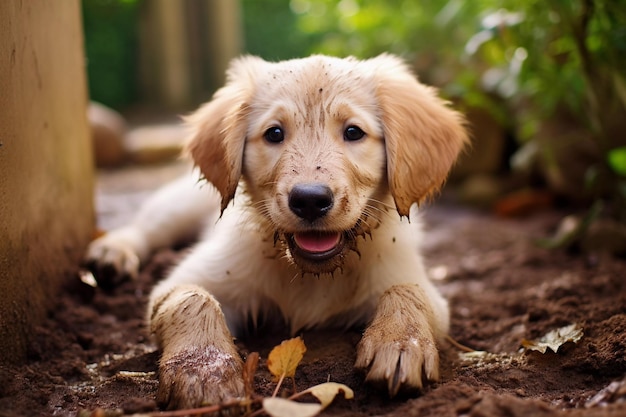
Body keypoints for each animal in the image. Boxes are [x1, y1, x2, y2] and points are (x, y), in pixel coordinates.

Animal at [84, 53, 464, 408]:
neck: (312, 278)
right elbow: (192, 298)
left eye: (353, 132)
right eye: (275, 134)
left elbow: (407, 291)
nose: (310, 200)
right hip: (179, 205)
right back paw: (112, 253)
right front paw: (204, 371)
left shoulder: (420, 287)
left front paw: (399, 344)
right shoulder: (184, 280)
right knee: (145, 227)